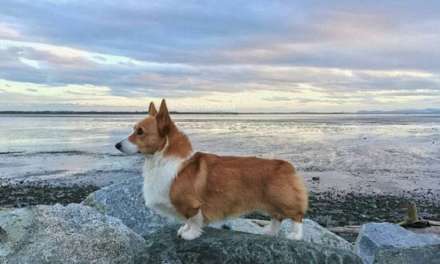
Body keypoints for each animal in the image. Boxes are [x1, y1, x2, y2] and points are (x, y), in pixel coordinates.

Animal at [117, 100, 310, 240]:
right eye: (134, 129)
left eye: (140, 132)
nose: (117, 145)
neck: (162, 159)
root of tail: (287, 165)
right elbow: (187, 221)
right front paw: (183, 229)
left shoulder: (192, 205)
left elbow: (193, 220)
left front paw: (190, 234)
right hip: (271, 203)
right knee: (277, 218)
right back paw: (269, 232)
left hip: (283, 200)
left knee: (297, 217)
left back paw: (295, 236)